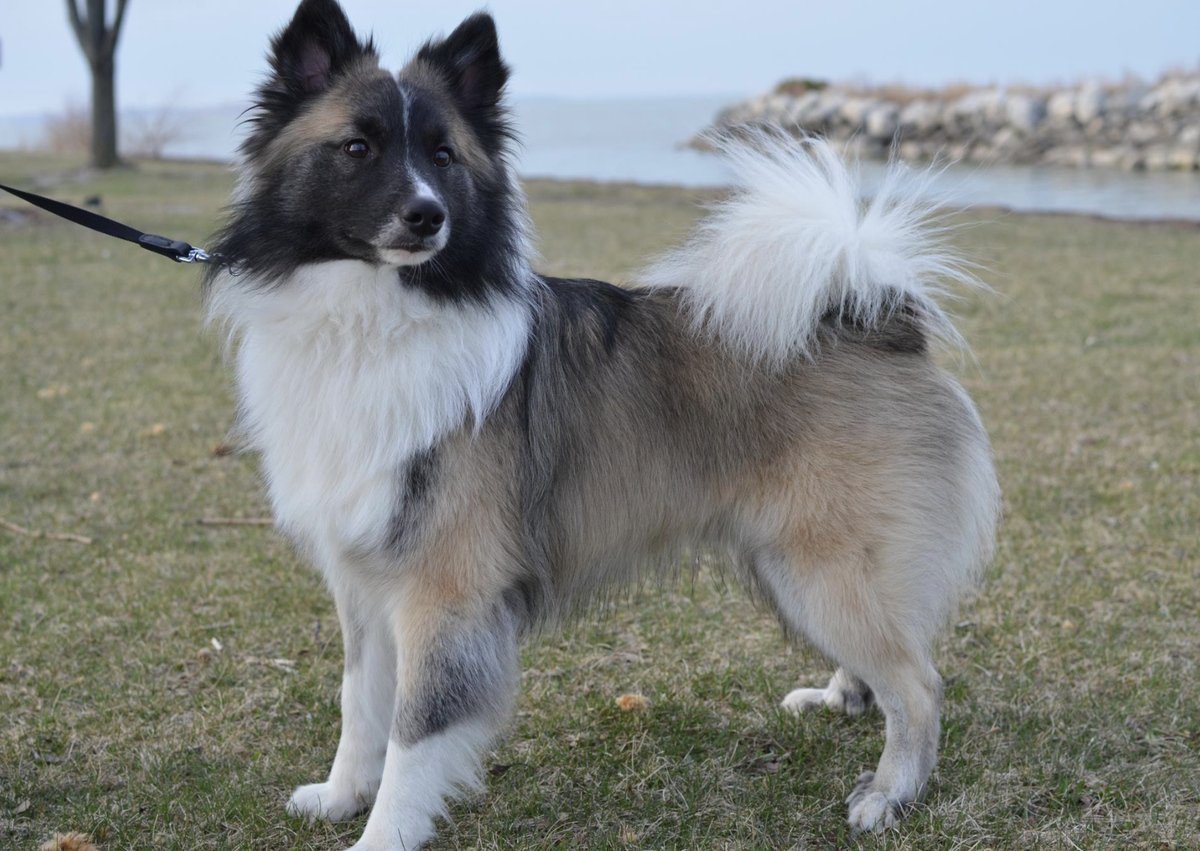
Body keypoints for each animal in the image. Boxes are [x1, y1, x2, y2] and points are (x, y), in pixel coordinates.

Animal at [204, 1, 1003, 844]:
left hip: (824, 567)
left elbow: (414, 731)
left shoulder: (443, 593)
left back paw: (890, 792)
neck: (375, 317)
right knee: (889, 659)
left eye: (444, 156)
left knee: (918, 683)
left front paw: (382, 831)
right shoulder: (363, 583)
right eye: (357, 147)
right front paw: (340, 795)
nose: (427, 217)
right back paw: (841, 698)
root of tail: (872, 313)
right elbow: (360, 703)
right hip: (795, 564)